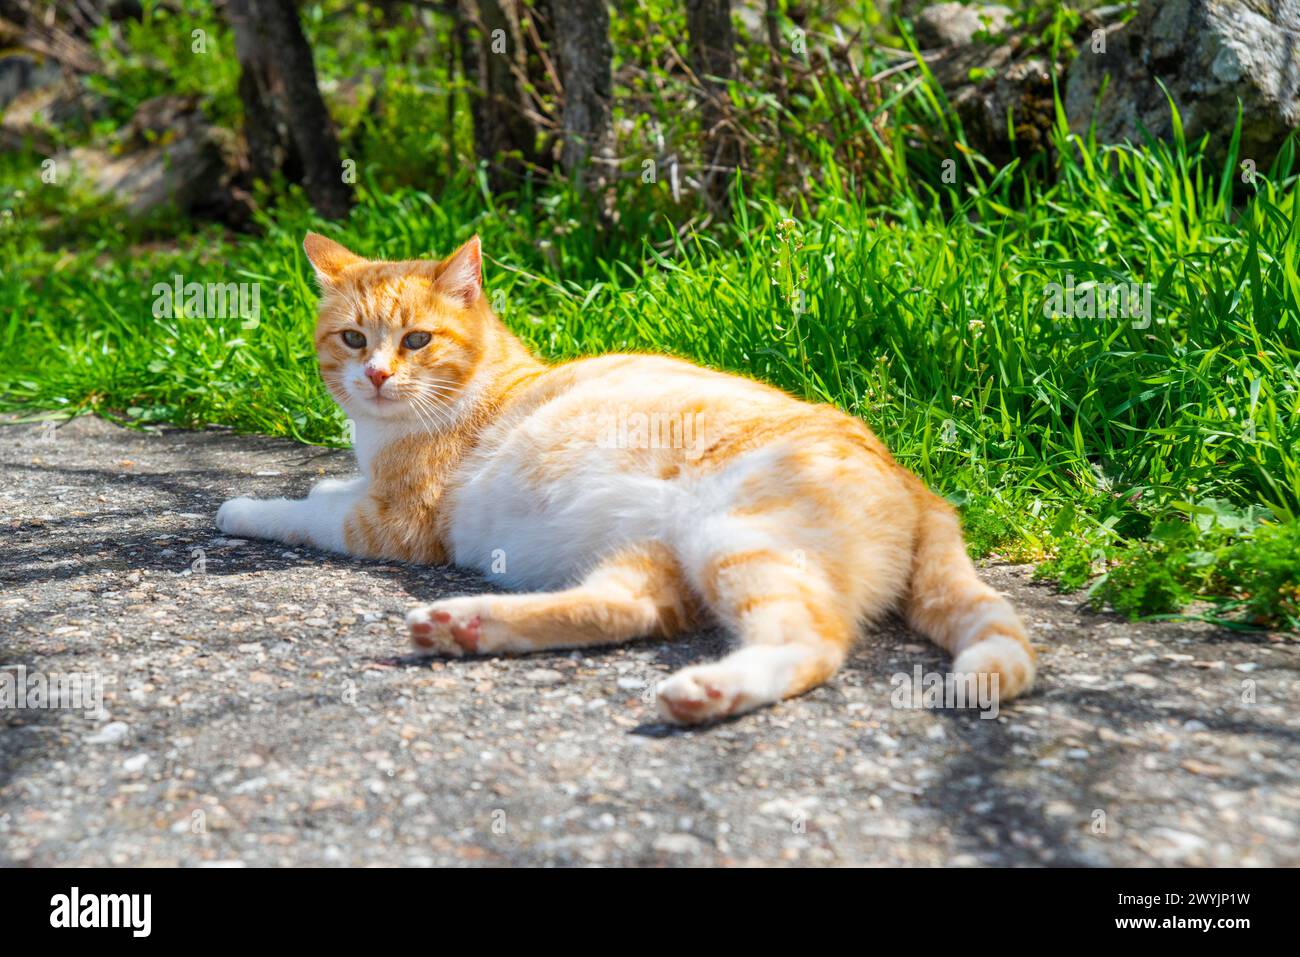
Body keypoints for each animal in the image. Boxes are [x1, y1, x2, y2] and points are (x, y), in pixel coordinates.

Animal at [218, 234, 1040, 722]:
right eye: (353, 338)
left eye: (417, 340)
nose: (378, 375)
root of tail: (913, 478)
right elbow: (330, 489)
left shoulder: (392, 523)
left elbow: (301, 512)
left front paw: (244, 507)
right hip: (658, 556)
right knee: (624, 609)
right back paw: (467, 624)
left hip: (739, 539)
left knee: (813, 642)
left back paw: (711, 689)